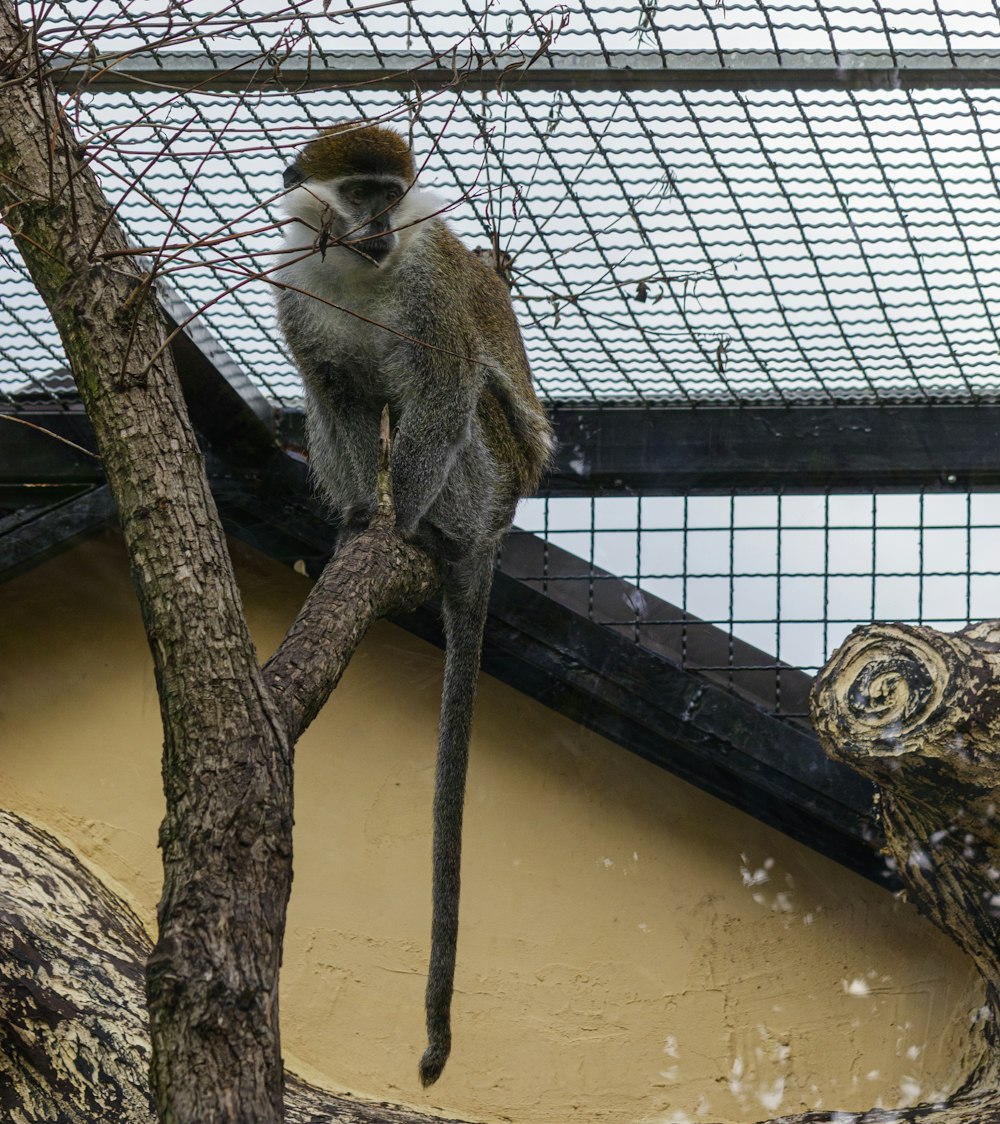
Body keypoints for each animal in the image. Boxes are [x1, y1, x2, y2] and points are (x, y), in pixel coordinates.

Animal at [273, 118, 552, 1083]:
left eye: (395, 198)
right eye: (361, 193)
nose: (380, 228)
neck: (360, 273)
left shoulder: (429, 286)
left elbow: (441, 387)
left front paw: (399, 527)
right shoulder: (295, 284)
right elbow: (338, 390)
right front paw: (365, 516)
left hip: (493, 476)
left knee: (466, 406)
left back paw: (433, 534)